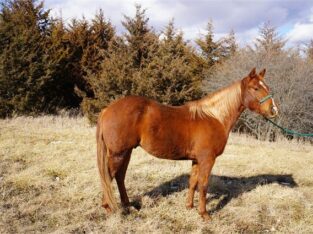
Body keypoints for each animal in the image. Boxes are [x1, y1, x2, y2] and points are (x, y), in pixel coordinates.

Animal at [95, 67, 278, 219]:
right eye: (255, 88)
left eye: (267, 87)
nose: (274, 110)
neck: (215, 117)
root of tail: (107, 109)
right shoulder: (207, 159)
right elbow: (203, 185)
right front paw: (204, 214)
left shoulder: (196, 160)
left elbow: (193, 182)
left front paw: (189, 206)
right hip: (118, 154)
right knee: (108, 177)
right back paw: (110, 207)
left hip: (126, 152)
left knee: (119, 177)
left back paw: (128, 206)